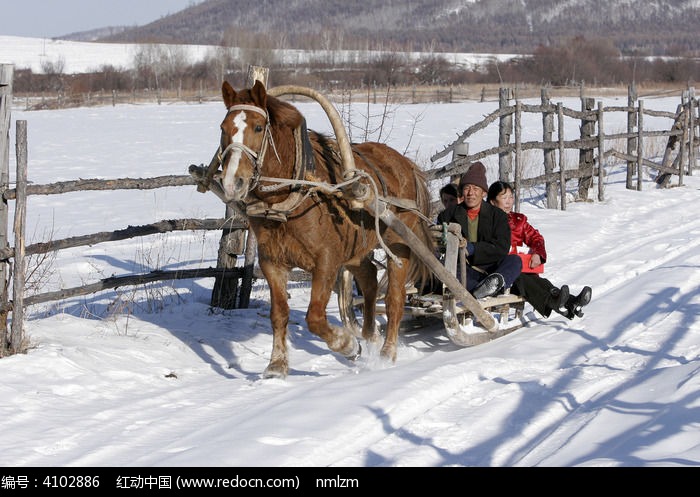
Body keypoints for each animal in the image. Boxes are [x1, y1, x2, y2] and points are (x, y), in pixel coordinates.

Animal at [211, 80, 434, 376]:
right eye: (223, 128)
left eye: (258, 128)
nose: (232, 182)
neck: (291, 199)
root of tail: (404, 164)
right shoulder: (272, 262)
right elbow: (278, 314)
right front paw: (276, 365)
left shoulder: (327, 262)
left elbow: (315, 317)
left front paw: (348, 345)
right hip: (356, 248)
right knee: (370, 278)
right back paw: (370, 336)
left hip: (398, 243)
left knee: (395, 299)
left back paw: (386, 353)